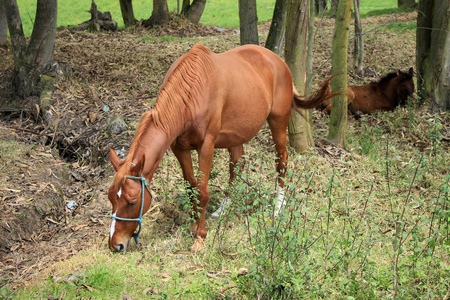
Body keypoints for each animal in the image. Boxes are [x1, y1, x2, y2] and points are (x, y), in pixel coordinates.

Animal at [108, 43, 334, 252]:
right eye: (111, 198)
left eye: (132, 202)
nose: (115, 244)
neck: (190, 95)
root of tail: (277, 61)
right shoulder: (179, 148)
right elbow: (191, 186)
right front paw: (193, 226)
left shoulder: (206, 146)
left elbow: (202, 190)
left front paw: (199, 237)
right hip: (237, 135)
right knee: (237, 166)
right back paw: (224, 209)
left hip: (278, 122)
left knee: (282, 160)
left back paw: (278, 206)